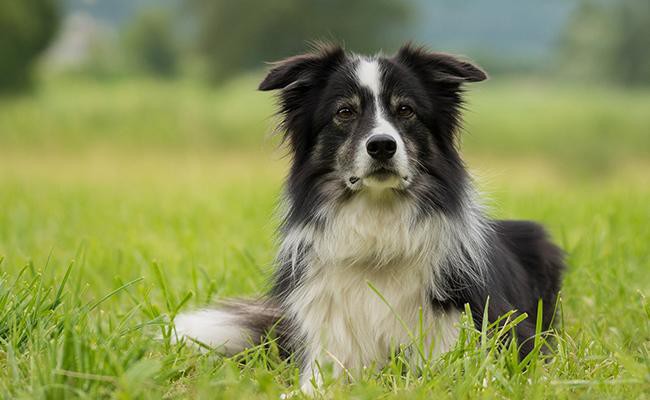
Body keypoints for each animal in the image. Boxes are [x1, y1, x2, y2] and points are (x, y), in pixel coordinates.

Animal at [172, 43, 560, 394]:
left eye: (406, 110)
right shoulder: (329, 350)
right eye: (345, 112)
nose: (382, 146)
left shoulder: (487, 336)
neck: (378, 234)